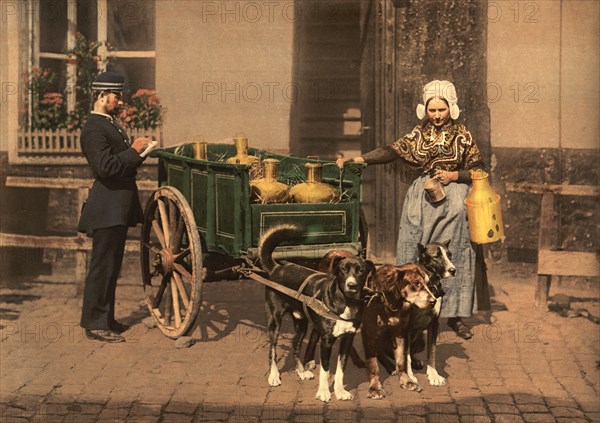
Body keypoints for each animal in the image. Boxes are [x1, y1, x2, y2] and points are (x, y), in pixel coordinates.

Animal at [258, 224, 376, 402]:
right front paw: (324, 392)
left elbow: (341, 369)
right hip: (274, 321)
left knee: (295, 345)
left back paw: (301, 372)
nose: (351, 285)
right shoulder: (326, 341)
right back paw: (274, 376)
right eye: (343, 270)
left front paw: (340, 391)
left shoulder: (347, 340)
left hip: (301, 323)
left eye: (361, 270)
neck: (345, 302)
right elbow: (325, 370)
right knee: (272, 350)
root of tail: (277, 268)